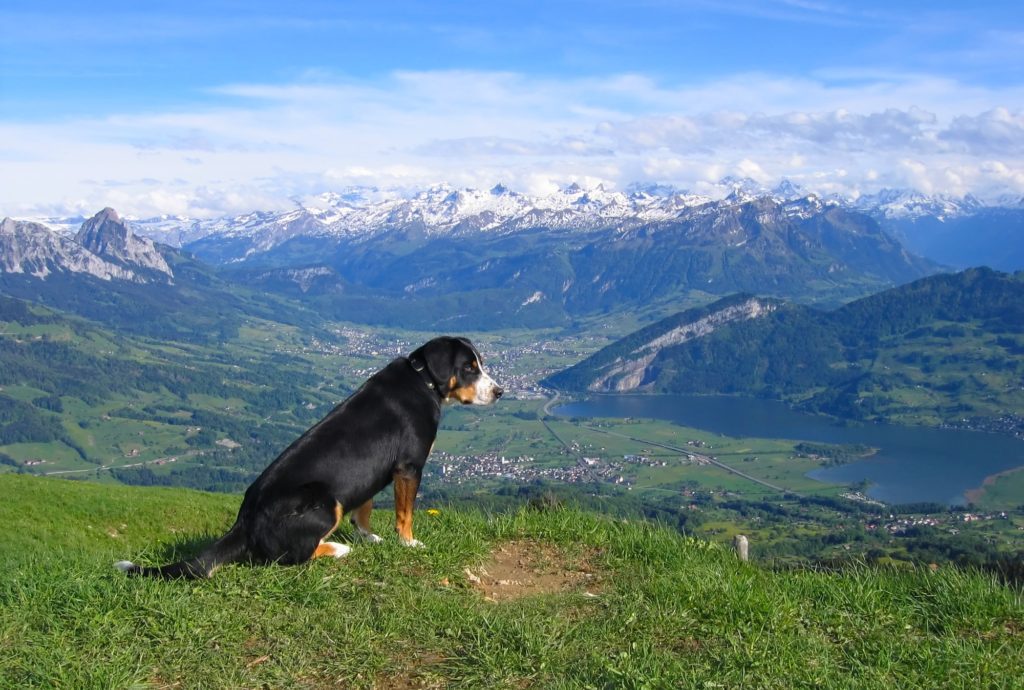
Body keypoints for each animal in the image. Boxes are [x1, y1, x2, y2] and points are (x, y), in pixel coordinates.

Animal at [116, 335, 503, 577]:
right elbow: (404, 515)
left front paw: (369, 536)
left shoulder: (370, 471)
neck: (423, 381)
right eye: (469, 367)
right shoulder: (408, 467)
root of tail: (245, 522)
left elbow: (363, 508)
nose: (500, 391)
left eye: (480, 365)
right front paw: (409, 543)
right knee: (291, 557)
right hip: (324, 501)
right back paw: (337, 549)